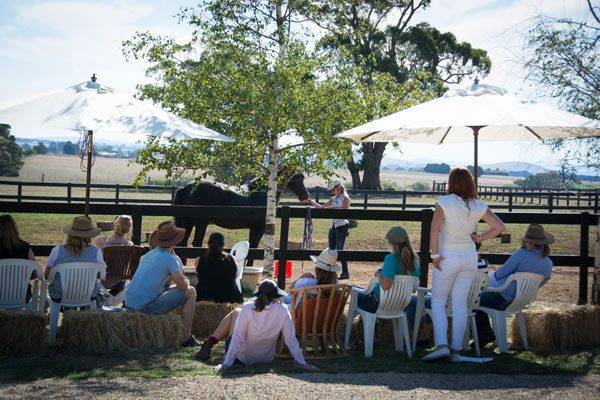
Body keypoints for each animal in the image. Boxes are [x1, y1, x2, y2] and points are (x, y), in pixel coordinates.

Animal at [171, 173, 308, 264]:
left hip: (187, 224)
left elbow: (251, 247)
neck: (262, 193)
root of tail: (186, 187)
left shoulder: (253, 229)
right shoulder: (259, 228)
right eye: (298, 178)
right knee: (196, 244)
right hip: (201, 223)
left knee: (183, 245)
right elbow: (254, 249)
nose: (305, 196)